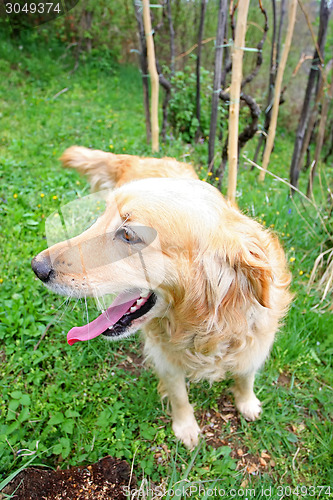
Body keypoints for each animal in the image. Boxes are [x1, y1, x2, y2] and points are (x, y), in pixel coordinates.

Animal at [31, 146, 290, 450]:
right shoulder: (166, 359)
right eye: (101, 220)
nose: (37, 267)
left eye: (128, 234)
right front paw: (185, 426)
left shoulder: (257, 340)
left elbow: (246, 374)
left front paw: (247, 402)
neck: (203, 327)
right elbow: (179, 395)